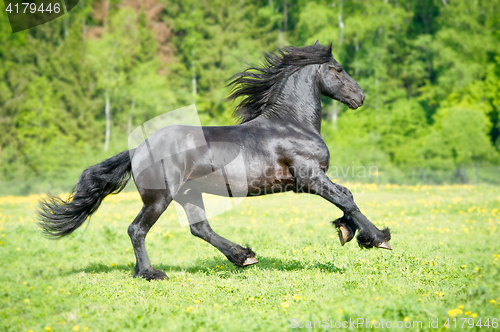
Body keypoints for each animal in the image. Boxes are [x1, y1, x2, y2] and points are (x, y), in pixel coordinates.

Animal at [39, 42, 390, 280]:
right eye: (339, 69)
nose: (360, 98)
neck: (291, 124)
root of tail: (138, 148)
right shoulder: (309, 177)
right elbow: (346, 197)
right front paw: (377, 238)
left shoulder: (308, 181)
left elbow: (345, 198)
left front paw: (346, 230)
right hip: (160, 198)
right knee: (137, 229)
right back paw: (151, 273)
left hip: (188, 194)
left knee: (200, 228)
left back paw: (242, 256)